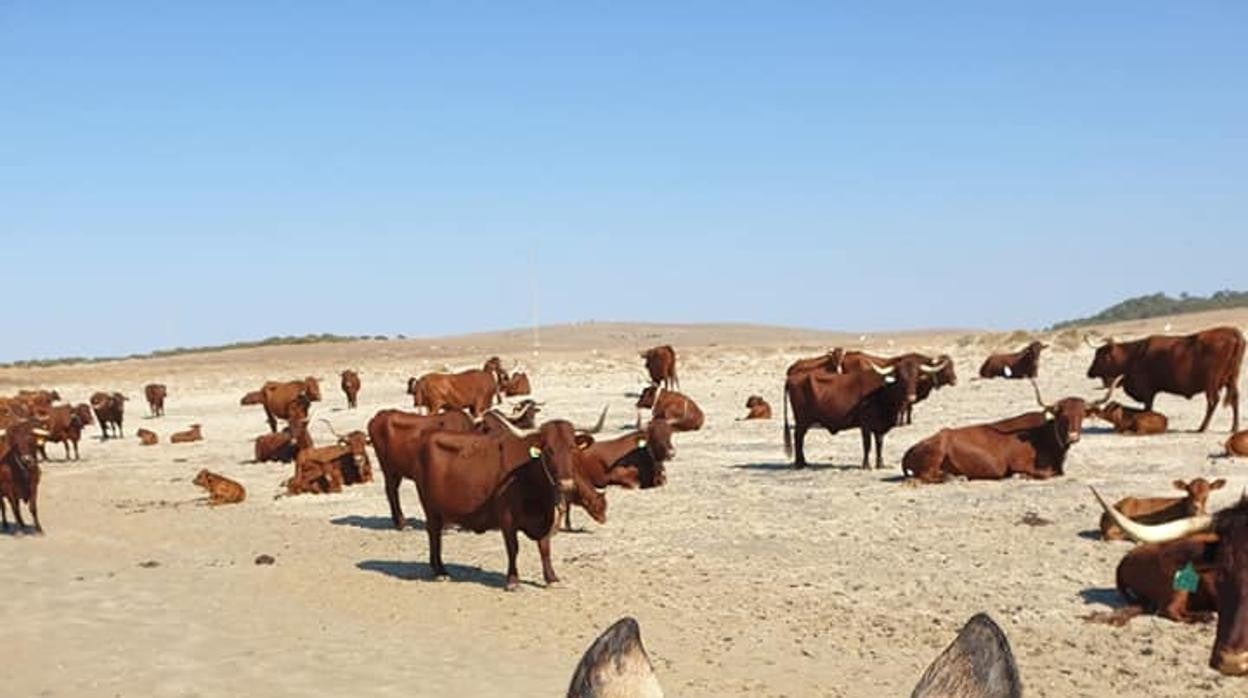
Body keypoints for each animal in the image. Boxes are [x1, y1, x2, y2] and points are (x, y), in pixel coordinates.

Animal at [903, 379, 1118, 484]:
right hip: (937, 451)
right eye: (1062, 415)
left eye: (1082, 415)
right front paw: (1022, 476)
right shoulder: (1018, 464)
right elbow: (1044, 474)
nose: (1073, 436)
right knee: (924, 476)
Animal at [1088, 327, 1243, 432]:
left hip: (1211, 382)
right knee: (1235, 399)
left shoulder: (1147, 391)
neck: (1133, 355)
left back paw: (1202, 428)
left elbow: (1147, 408)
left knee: (1212, 401)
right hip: (1232, 380)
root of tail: (1233, 333)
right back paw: (1234, 427)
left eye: (1099, 355)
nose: (1088, 372)